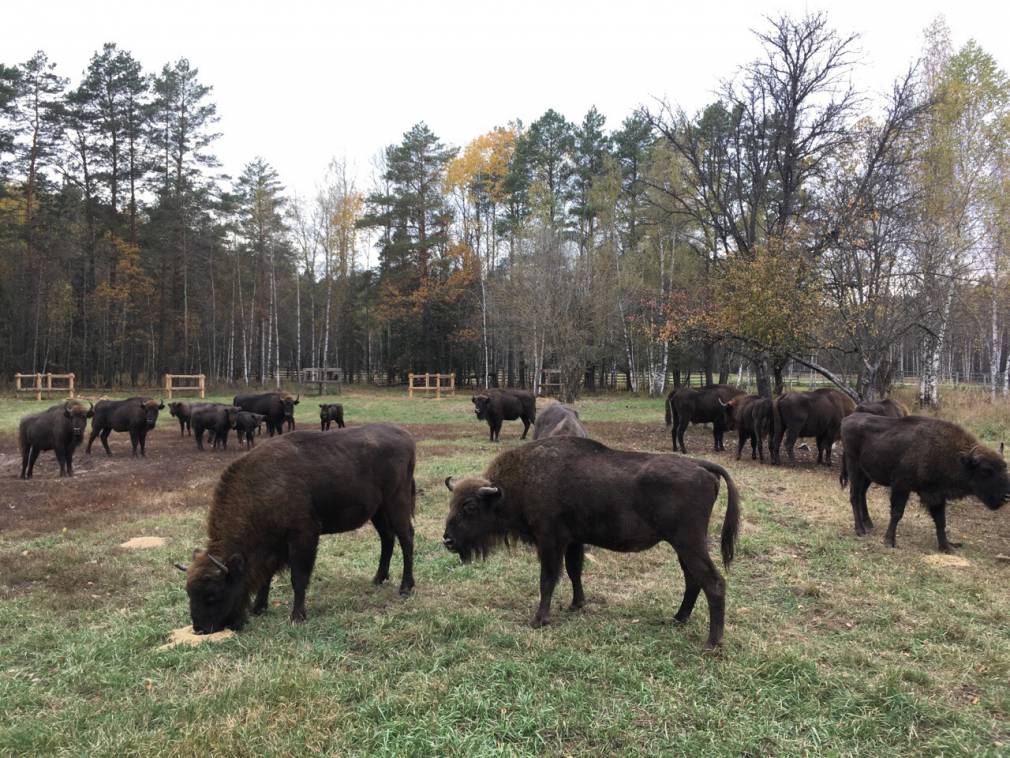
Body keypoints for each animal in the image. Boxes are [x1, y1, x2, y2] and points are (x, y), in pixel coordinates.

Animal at [175, 428, 416, 634]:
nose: (199, 629)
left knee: (406, 538)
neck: (262, 488)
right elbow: (266, 577)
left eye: (212, 594)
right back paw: (378, 578)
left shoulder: (302, 537)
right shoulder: (273, 547)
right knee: (387, 538)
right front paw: (258, 608)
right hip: (378, 511)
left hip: (396, 503)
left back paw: (405, 588)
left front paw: (297, 616)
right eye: (188, 592)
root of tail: (405, 437)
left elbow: (298, 578)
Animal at [442, 436, 743, 650]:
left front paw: (538, 620)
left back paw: (711, 643)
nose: (447, 540)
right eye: (452, 502)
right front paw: (576, 605)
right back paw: (677, 618)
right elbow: (574, 572)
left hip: (689, 543)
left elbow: (548, 580)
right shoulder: (574, 541)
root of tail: (702, 466)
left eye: (470, 507)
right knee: (693, 580)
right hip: (683, 546)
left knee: (713, 582)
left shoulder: (550, 542)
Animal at [836, 412, 1010, 553]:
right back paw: (860, 530)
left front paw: (947, 547)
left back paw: (868, 524)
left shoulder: (937, 495)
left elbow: (941, 521)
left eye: (1005, 466)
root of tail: (846, 420)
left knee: (862, 495)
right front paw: (889, 541)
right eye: (986, 470)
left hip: (867, 475)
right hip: (855, 469)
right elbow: (897, 513)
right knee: (854, 496)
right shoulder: (901, 486)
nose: (1006, 496)